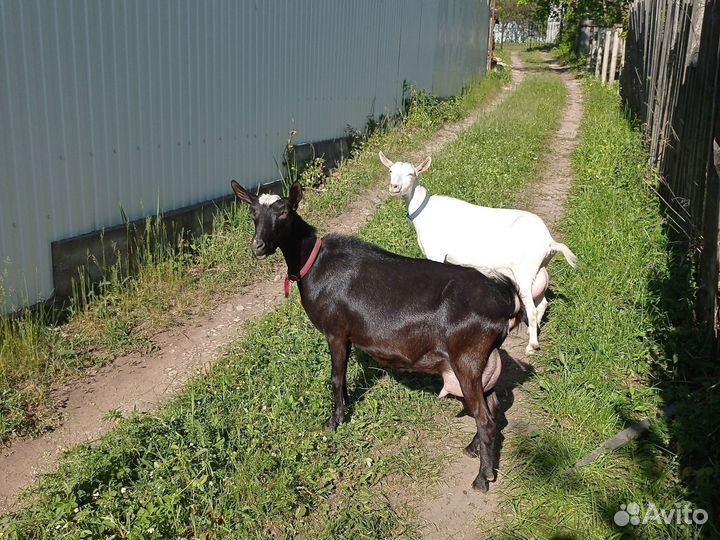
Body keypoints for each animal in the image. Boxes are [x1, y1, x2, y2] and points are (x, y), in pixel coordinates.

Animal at [230, 179, 521, 491]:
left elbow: (335, 378)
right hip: (482, 363)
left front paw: (333, 421)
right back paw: (474, 450)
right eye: (252, 213)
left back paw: (482, 478)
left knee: (486, 419)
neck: (314, 263)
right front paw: (344, 410)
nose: (258, 246)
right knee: (493, 408)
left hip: (467, 360)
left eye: (284, 212)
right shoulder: (347, 337)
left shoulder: (336, 332)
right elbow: (344, 378)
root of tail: (502, 302)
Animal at [379, 152, 578, 354]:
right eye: (390, 171)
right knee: (542, 302)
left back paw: (532, 345)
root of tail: (549, 242)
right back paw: (534, 329)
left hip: (524, 271)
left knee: (532, 308)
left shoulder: (436, 253)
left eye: (411, 174)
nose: (394, 187)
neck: (424, 211)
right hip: (537, 271)